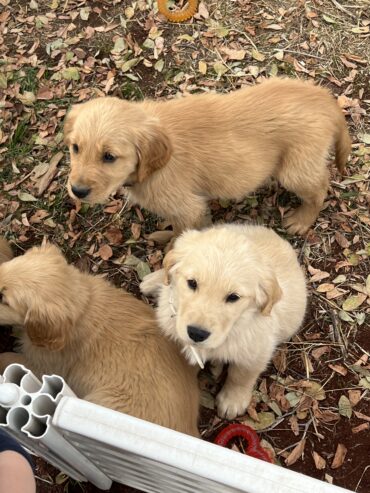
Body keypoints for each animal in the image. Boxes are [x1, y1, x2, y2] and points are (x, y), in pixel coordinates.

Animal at [65, 77, 352, 236]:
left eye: (109, 157)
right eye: (75, 148)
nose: (77, 191)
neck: (152, 169)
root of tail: (324, 98)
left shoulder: (188, 207)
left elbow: (181, 235)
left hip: (295, 170)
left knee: (320, 187)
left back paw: (302, 220)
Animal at [140, 225, 308, 418]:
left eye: (233, 297)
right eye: (192, 283)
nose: (196, 333)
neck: (236, 324)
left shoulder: (256, 352)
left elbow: (241, 375)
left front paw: (232, 401)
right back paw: (152, 281)